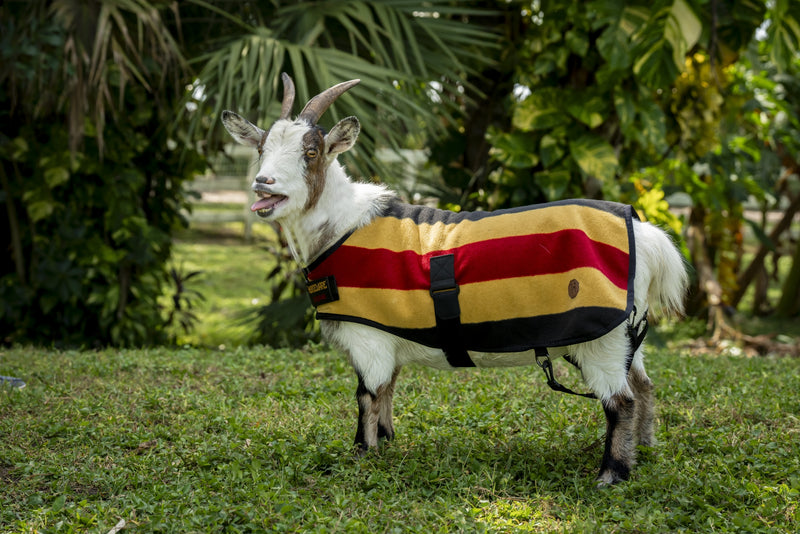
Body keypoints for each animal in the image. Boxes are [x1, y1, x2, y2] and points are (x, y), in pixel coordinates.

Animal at [221, 74, 689, 486]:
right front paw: (387, 445)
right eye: (261, 148)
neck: (340, 227)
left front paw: (360, 457)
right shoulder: (388, 335)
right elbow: (387, 392)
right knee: (644, 386)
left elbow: (366, 396)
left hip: (600, 340)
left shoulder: (368, 340)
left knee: (621, 401)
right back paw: (645, 449)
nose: (263, 182)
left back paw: (612, 474)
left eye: (312, 152)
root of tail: (646, 235)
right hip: (626, 337)